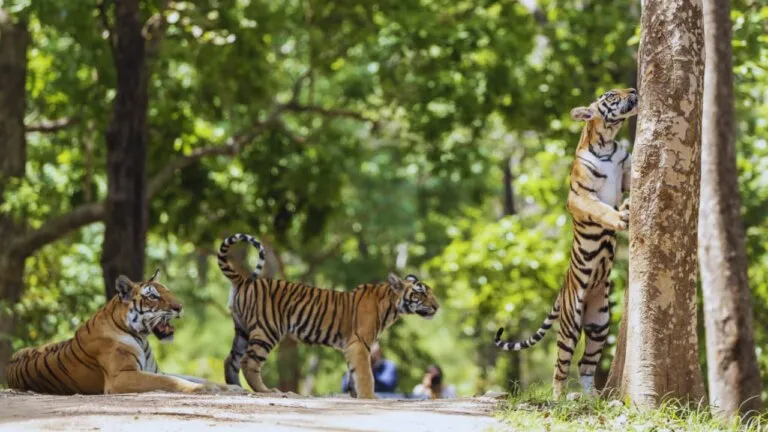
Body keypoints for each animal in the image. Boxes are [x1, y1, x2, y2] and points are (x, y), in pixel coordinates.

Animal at [6, 270, 242, 395]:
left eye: (168, 291)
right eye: (153, 296)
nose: (180, 307)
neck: (142, 338)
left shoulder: (156, 370)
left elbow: (191, 377)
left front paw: (232, 388)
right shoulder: (122, 376)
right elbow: (172, 382)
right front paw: (204, 390)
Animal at [217, 233, 440, 399]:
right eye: (421, 293)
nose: (437, 307)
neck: (391, 306)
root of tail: (243, 280)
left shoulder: (352, 347)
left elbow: (353, 374)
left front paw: (355, 396)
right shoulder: (360, 344)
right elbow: (366, 375)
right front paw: (369, 397)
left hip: (243, 330)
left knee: (231, 359)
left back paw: (237, 388)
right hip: (266, 330)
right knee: (249, 362)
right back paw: (266, 391)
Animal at [494, 88, 638, 398]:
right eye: (611, 95)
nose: (633, 90)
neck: (608, 144)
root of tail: (562, 289)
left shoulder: (625, 174)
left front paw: (628, 206)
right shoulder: (579, 197)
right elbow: (601, 209)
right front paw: (620, 216)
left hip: (599, 323)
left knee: (585, 364)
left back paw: (591, 398)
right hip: (570, 323)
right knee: (560, 364)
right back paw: (559, 398)